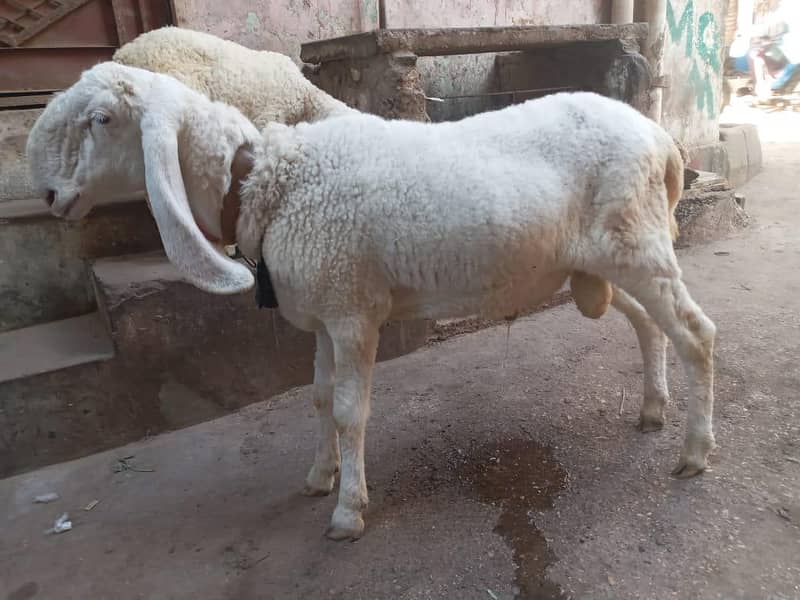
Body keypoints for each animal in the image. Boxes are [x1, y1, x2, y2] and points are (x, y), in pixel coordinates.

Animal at [27, 62, 717, 541]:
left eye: (101, 120)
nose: (49, 196)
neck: (268, 182)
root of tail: (662, 140)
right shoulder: (322, 316)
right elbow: (318, 397)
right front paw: (318, 477)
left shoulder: (354, 313)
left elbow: (350, 411)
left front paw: (348, 511)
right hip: (601, 262)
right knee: (649, 326)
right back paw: (653, 409)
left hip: (635, 243)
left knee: (695, 333)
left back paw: (694, 452)